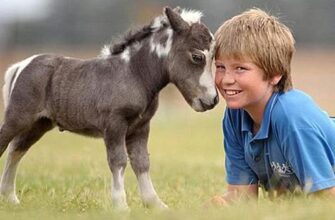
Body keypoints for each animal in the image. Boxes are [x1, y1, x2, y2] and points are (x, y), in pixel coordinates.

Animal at [0, 6, 218, 209]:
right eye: (197, 57)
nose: (212, 100)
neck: (134, 74)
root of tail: (21, 65)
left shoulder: (141, 127)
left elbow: (141, 161)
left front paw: (155, 204)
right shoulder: (115, 124)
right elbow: (118, 160)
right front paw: (121, 205)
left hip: (40, 124)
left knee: (16, 150)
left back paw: (11, 198)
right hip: (17, 118)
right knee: (7, 144)